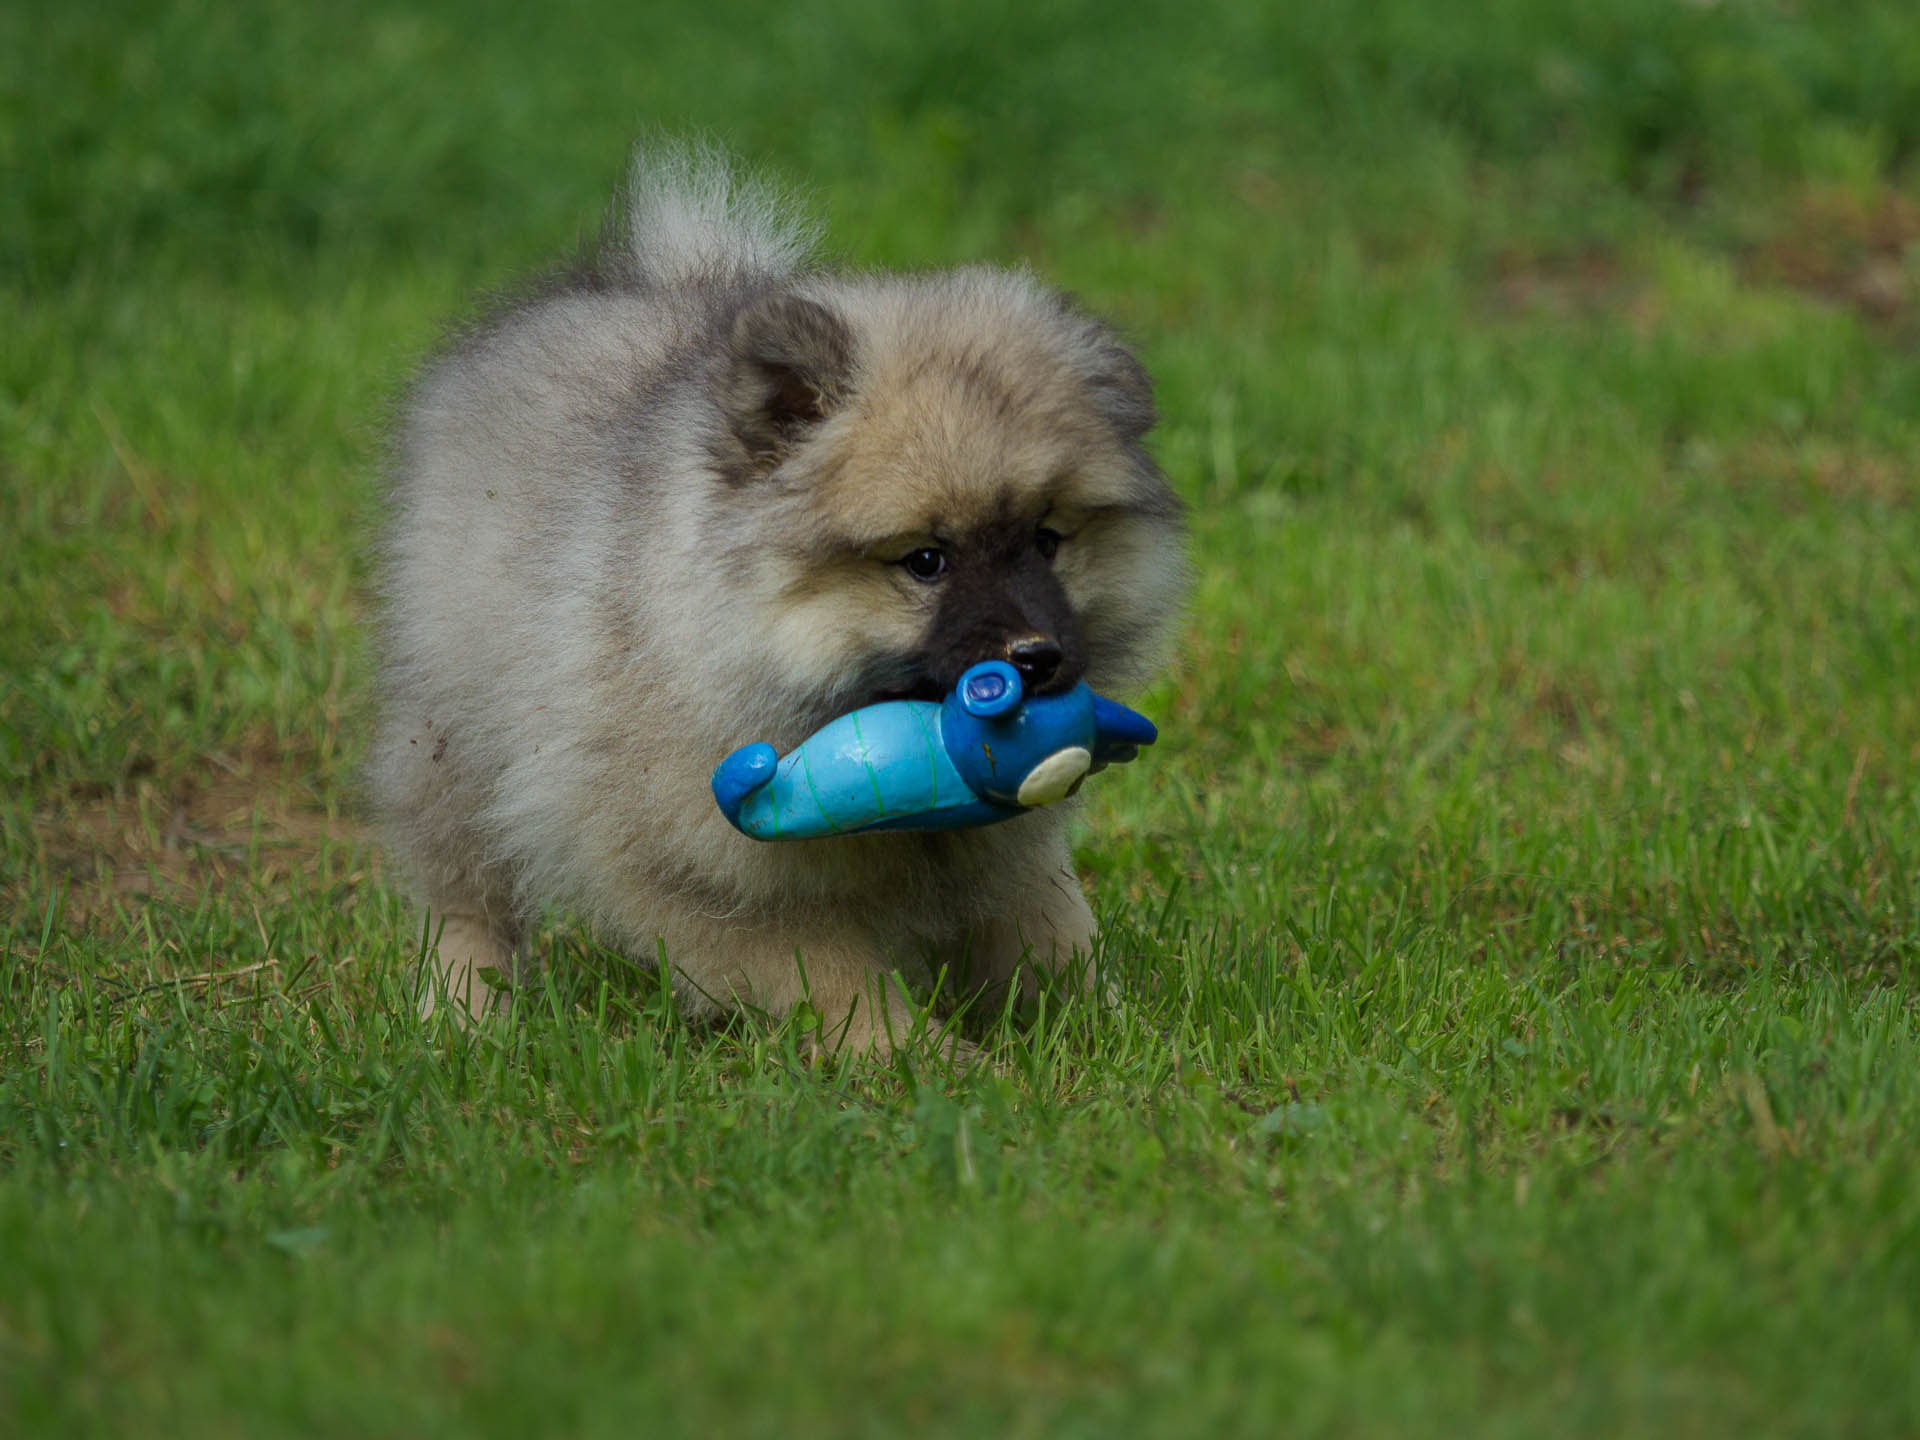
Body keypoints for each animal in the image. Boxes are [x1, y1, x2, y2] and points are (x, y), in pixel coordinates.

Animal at [368, 146, 1182, 1052]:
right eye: (925, 562)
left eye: (1047, 540)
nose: (1036, 657)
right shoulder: (702, 870)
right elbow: (836, 975)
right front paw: (924, 1057)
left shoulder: (1006, 855)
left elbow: (1049, 931)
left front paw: (1113, 1033)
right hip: (456, 737)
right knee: (463, 894)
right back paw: (464, 1012)